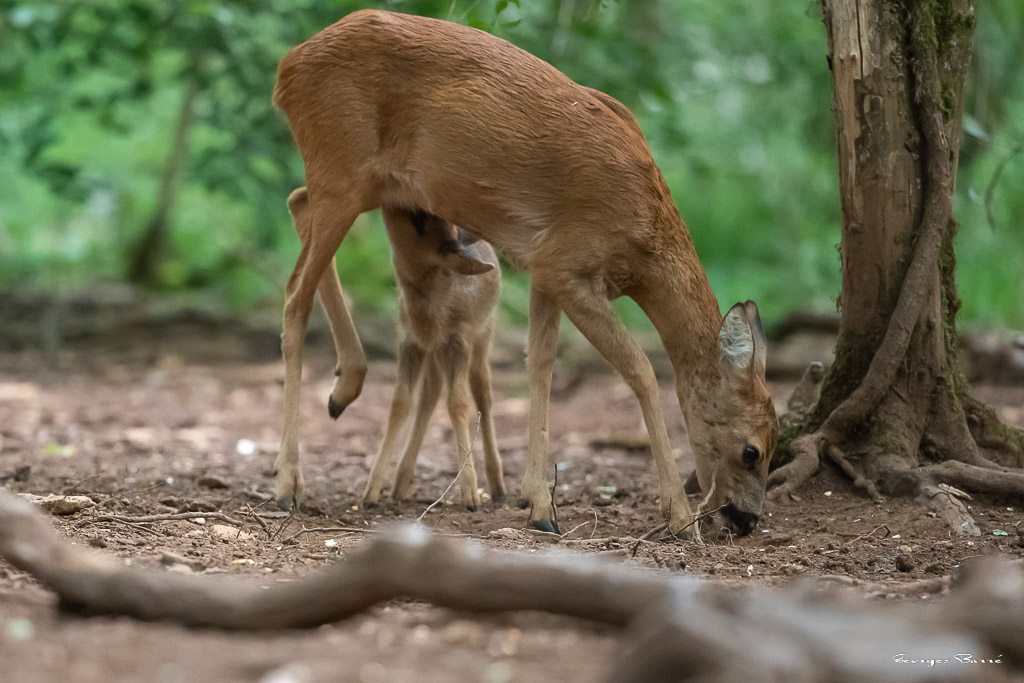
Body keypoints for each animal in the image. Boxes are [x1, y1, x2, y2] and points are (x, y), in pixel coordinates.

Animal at [286, 187, 505, 510]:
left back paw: (498, 488)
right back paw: (401, 483)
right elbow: (400, 402)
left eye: (419, 223)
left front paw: (470, 494)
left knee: (483, 393)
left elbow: (459, 403)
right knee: (431, 391)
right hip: (433, 351)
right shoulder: (409, 341)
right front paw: (371, 492)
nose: (395, 198)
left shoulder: (459, 340)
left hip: (482, 337)